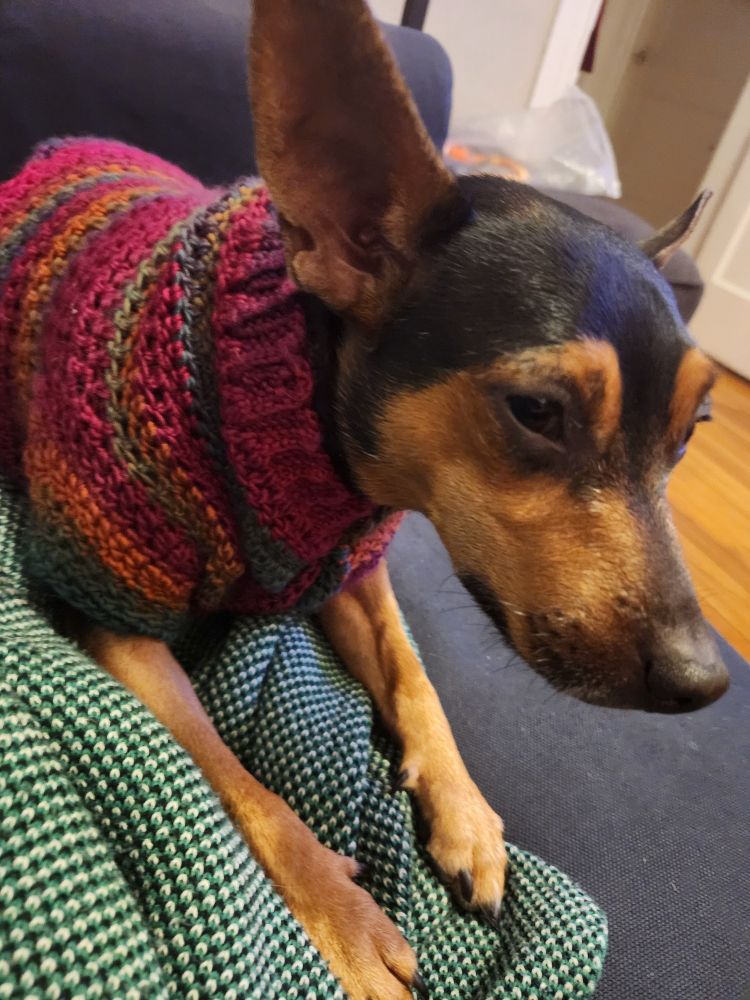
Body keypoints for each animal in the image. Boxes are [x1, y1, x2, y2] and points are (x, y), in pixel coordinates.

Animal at [0, 1, 730, 997]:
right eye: (538, 411)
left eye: (693, 431)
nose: (706, 682)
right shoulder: (113, 612)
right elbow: (232, 775)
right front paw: (343, 918)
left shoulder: (350, 570)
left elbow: (414, 674)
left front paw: (466, 811)